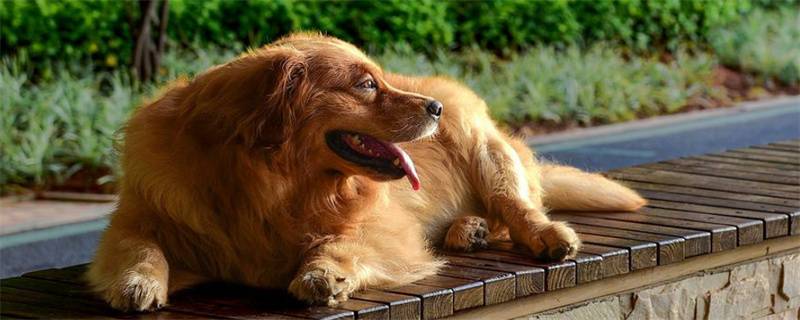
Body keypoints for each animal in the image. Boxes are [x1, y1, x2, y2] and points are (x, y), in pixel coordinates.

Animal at [87, 32, 644, 310]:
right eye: (365, 85)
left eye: (378, 78)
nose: (434, 108)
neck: (268, 184)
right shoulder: (141, 218)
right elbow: (141, 247)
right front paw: (138, 282)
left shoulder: (385, 228)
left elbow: (341, 242)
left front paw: (323, 272)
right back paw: (468, 229)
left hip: (485, 147)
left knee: (517, 206)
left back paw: (541, 234)